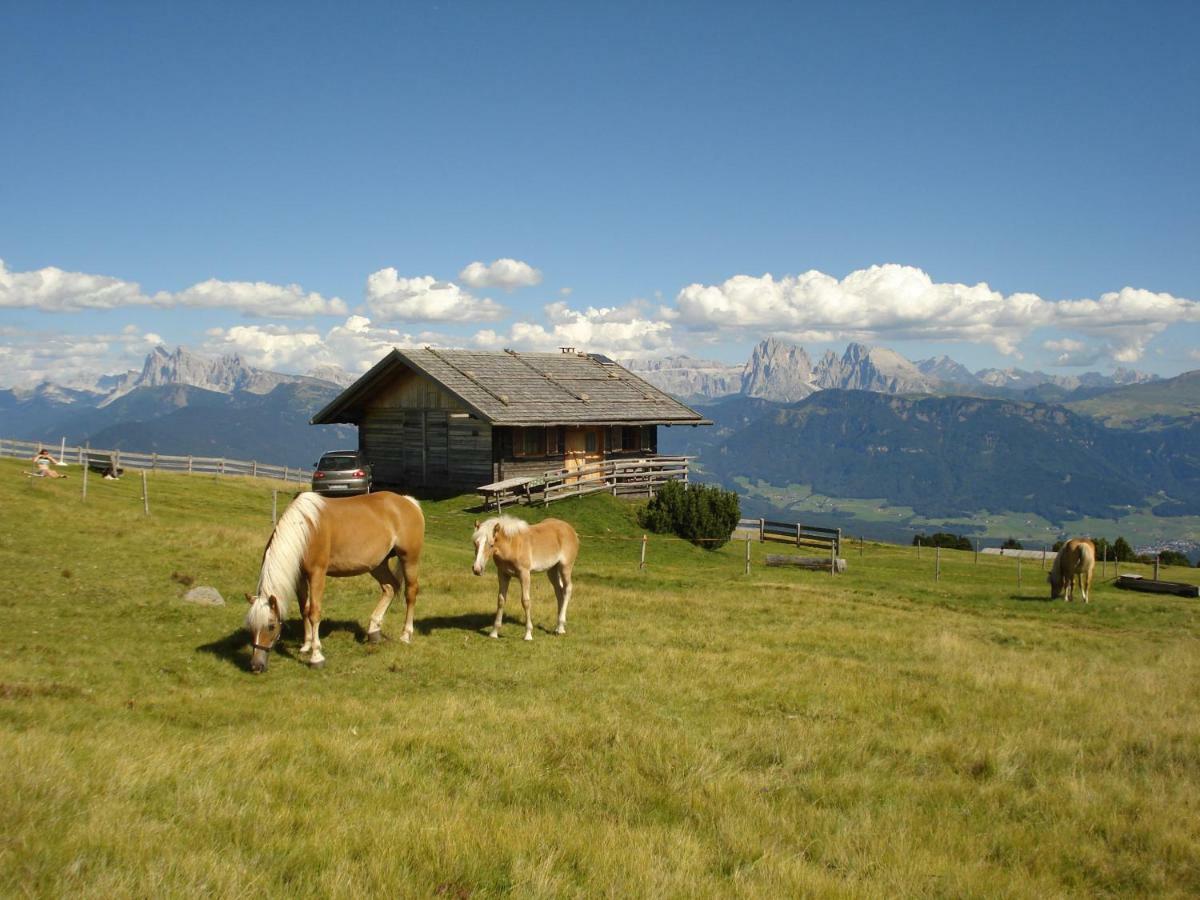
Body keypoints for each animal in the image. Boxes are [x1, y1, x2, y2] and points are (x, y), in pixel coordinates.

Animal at [241, 489, 424, 672]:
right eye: (251, 627)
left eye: (271, 626)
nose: (256, 665)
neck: (305, 529)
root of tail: (408, 502)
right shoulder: (300, 576)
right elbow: (304, 609)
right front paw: (306, 645)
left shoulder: (317, 574)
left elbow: (314, 612)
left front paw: (316, 656)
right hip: (377, 564)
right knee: (390, 587)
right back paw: (374, 631)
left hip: (409, 559)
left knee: (410, 593)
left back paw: (406, 635)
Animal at [470, 513, 578, 643]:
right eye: (475, 543)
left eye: (491, 544)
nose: (477, 569)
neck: (513, 545)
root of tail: (571, 529)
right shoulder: (503, 574)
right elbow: (501, 600)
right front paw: (494, 632)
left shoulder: (524, 574)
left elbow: (525, 601)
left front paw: (528, 634)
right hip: (552, 570)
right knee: (559, 592)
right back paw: (558, 627)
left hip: (565, 567)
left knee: (567, 589)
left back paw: (561, 628)